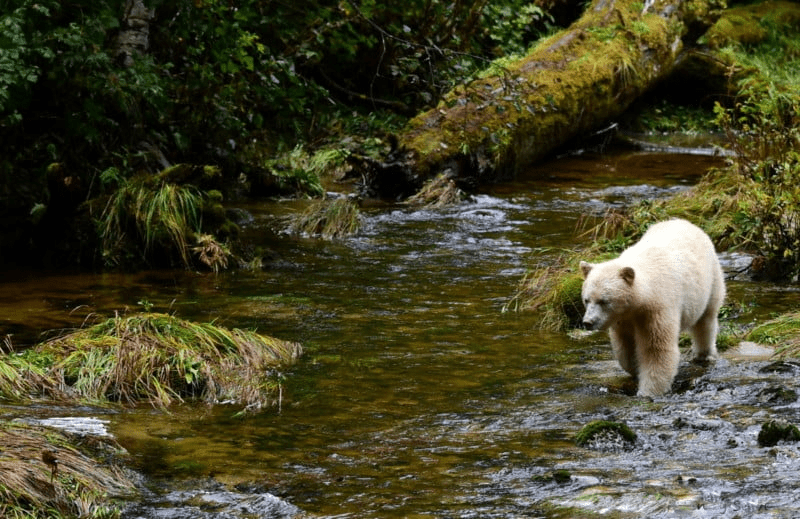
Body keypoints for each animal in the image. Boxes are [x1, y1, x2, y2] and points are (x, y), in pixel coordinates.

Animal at [580, 220, 724, 398]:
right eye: (586, 300)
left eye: (603, 301)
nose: (588, 322)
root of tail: (686, 222)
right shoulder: (623, 319)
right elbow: (625, 346)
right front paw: (635, 368)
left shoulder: (657, 309)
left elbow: (656, 350)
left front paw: (648, 392)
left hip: (710, 279)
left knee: (706, 320)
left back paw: (704, 354)